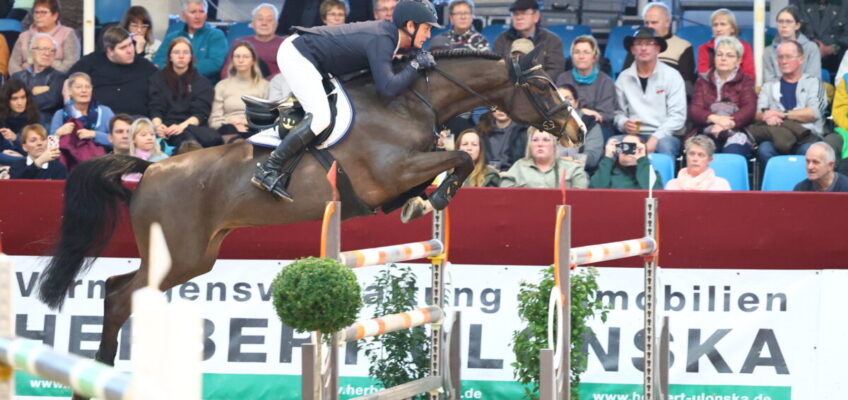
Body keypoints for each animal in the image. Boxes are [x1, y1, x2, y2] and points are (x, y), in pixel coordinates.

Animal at [38, 48, 584, 398]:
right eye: (540, 85)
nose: (578, 130)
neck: (409, 102)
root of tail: (149, 170)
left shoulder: (392, 182)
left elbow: (446, 167)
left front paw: (424, 203)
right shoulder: (386, 175)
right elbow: (458, 158)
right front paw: (438, 196)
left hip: (195, 258)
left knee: (116, 288)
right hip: (178, 255)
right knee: (120, 296)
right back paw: (98, 374)